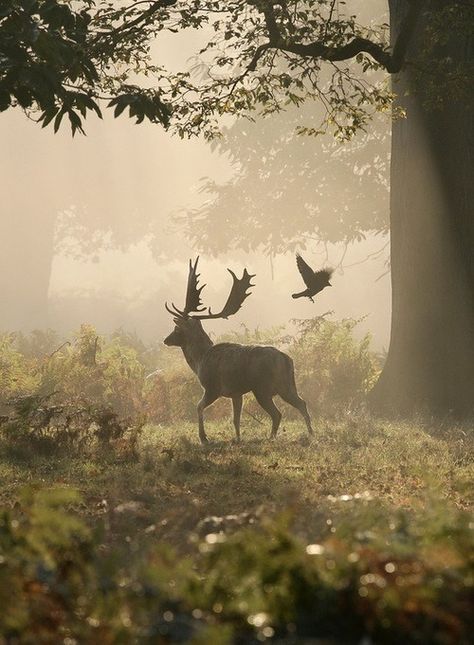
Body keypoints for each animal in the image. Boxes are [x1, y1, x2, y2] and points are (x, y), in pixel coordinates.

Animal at [163, 256, 314, 442]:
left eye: (177, 329)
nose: (166, 340)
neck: (199, 361)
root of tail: (286, 359)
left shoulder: (212, 388)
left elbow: (198, 407)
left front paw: (204, 438)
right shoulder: (236, 393)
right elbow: (236, 418)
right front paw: (237, 439)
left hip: (262, 387)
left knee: (277, 413)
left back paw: (271, 438)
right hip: (287, 384)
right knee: (301, 402)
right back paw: (310, 433)